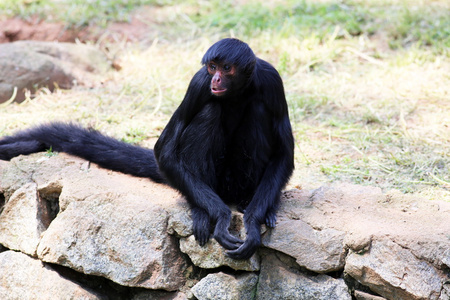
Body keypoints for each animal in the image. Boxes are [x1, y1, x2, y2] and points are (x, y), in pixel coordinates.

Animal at [0, 38, 294, 258]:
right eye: (212, 67)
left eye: (227, 68)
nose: (217, 80)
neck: (236, 92)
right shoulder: (198, 83)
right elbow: (165, 150)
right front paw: (221, 218)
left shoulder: (271, 80)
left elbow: (284, 155)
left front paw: (252, 224)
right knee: (210, 110)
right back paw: (202, 210)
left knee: (258, 109)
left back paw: (254, 204)